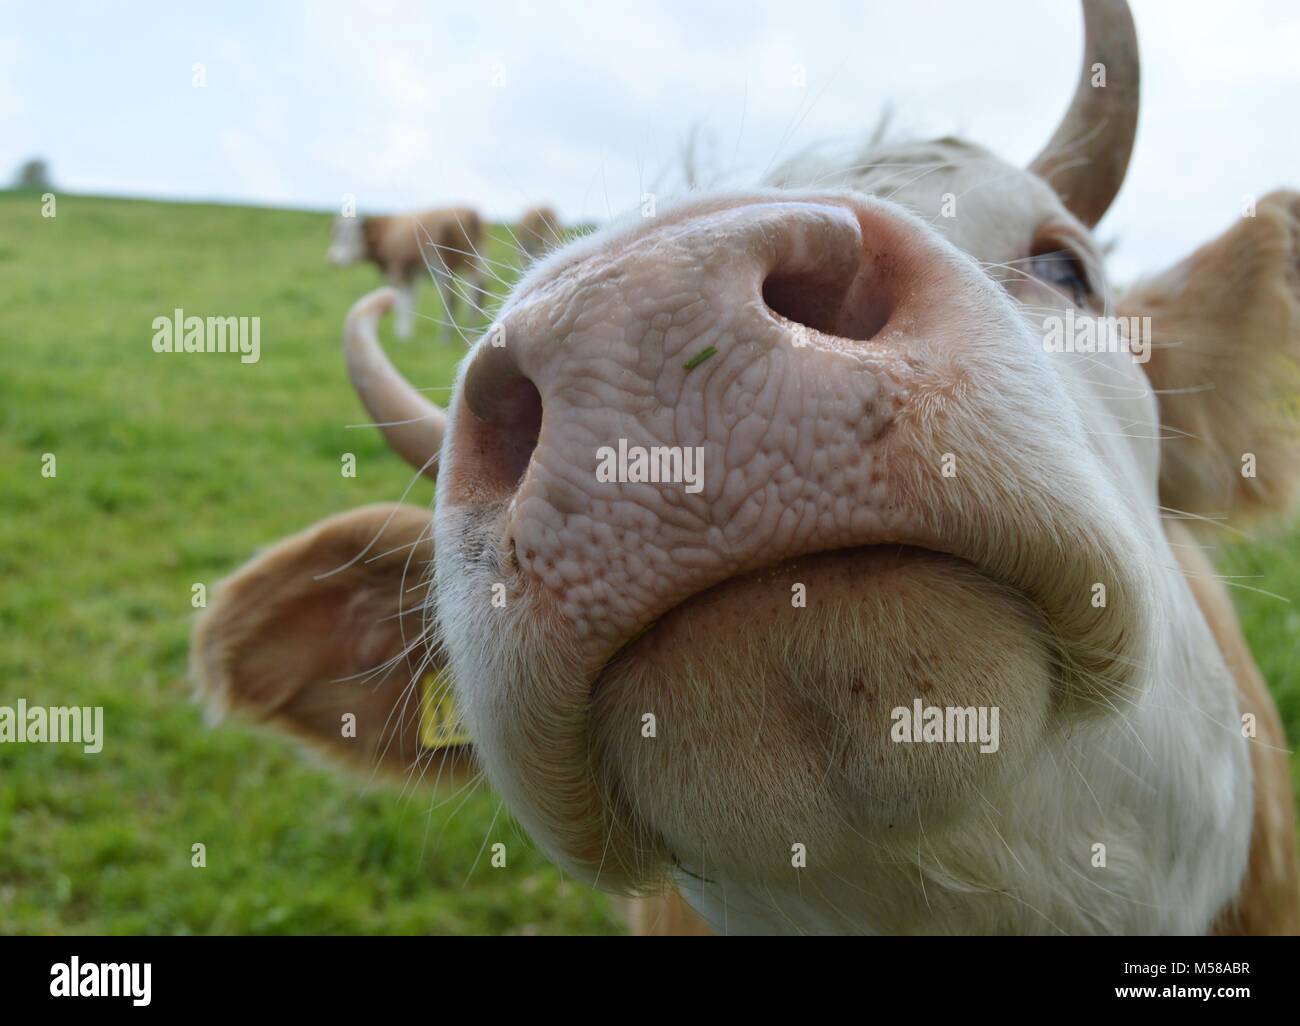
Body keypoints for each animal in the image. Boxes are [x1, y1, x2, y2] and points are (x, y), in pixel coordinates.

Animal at [325, 206, 488, 343]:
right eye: (334, 234)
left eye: (351, 237)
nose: (332, 258)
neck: (386, 232)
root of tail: (469, 213)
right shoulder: (412, 275)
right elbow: (411, 300)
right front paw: (407, 332)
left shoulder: (399, 271)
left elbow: (401, 302)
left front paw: (401, 334)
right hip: (476, 261)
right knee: (476, 294)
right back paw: (471, 334)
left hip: (443, 265)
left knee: (451, 299)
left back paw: (445, 338)